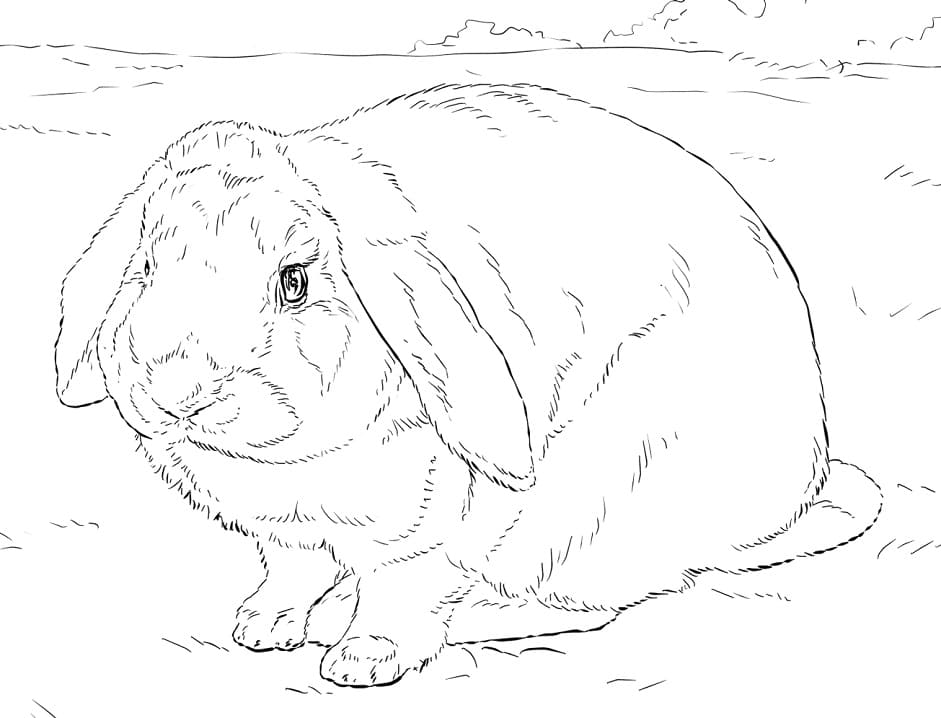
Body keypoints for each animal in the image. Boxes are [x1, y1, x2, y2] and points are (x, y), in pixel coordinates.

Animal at [55, 82, 882, 687]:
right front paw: (261, 626)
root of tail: (789, 501)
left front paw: (362, 659)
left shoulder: (431, 529)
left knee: (589, 600)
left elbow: (402, 588)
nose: (177, 390)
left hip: (599, 495)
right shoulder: (283, 532)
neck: (289, 465)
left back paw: (466, 618)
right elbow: (288, 566)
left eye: (294, 281)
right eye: (145, 267)